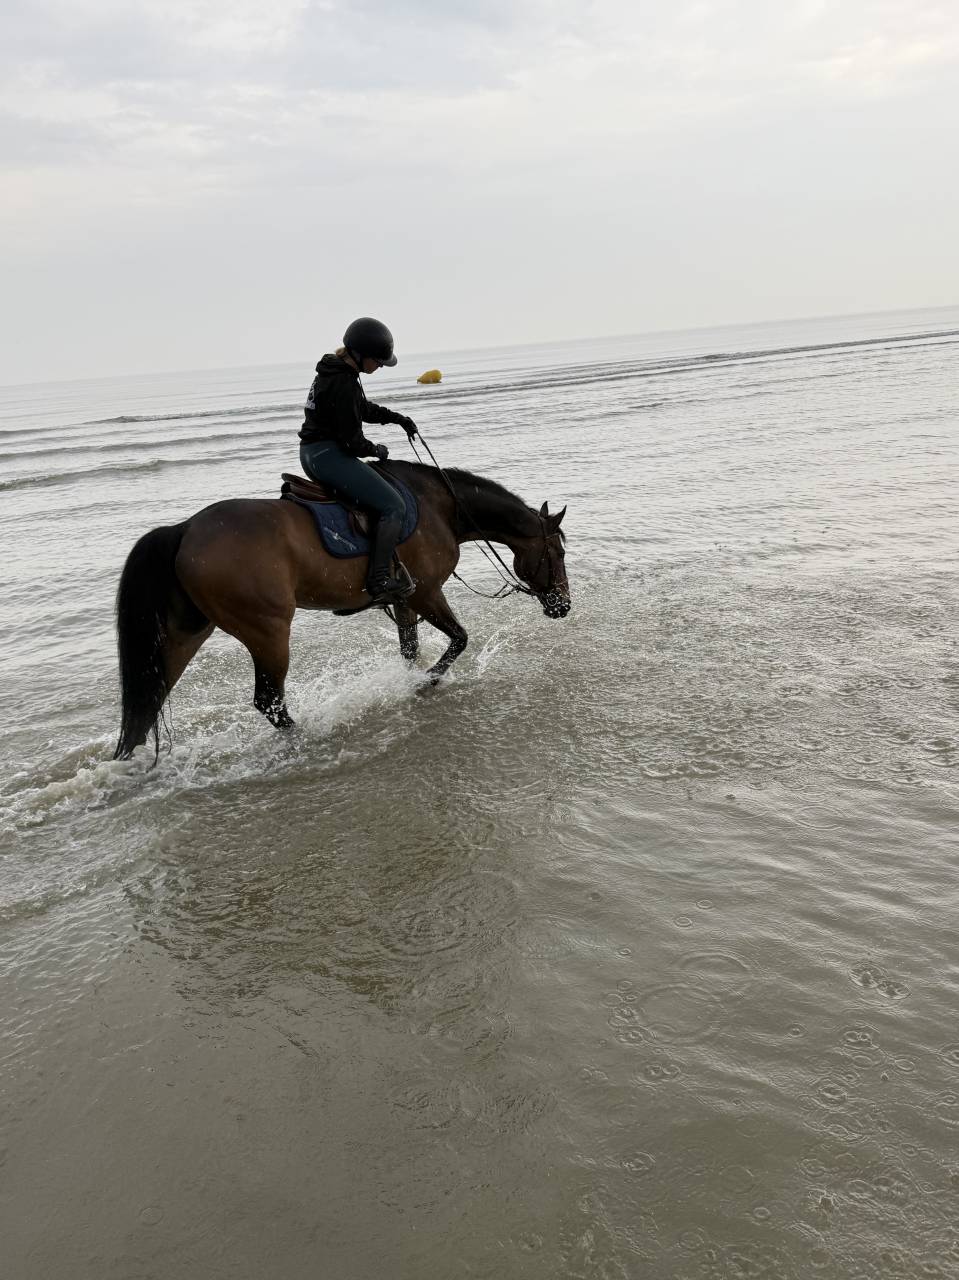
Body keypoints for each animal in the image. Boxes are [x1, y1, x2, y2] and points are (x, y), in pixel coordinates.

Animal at [113, 460, 570, 760]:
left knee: (146, 704)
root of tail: (186, 529)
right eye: (558, 552)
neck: (440, 506)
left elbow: (410, 649)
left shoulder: (404, 601)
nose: (563, 605)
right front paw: (425, 683)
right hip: (267, 631)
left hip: (184, 634)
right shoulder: (425, 594)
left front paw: (410, 683)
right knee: (268, 700)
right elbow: (459, 639)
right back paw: (305, 739)